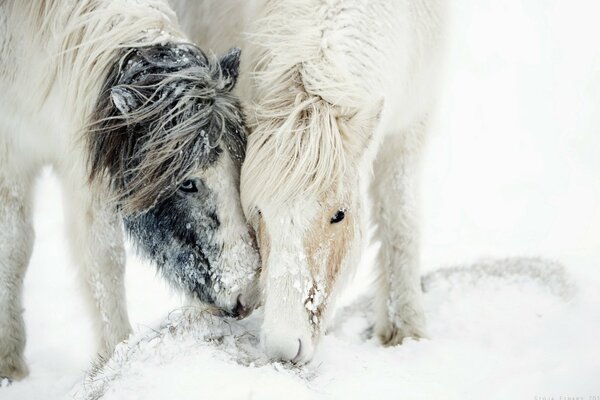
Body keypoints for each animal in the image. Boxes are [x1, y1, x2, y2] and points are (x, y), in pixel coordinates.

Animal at [1, 0, 260, 382]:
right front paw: (11, 363)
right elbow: (19, 248)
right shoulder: (13, 159)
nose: (248, 296)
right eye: (187, 183)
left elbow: (101, 257)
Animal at [173, 0, 446, 362]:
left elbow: (401, 221)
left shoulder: (411, 124)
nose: (284, 347)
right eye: (258, 212)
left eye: (339, 215)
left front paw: (406, 330)